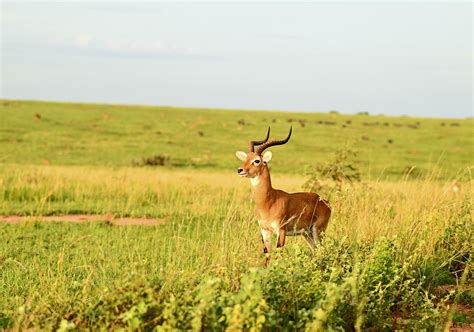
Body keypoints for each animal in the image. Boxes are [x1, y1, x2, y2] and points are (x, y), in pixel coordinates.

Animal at [235, 126, 332, 264]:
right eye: (246, 158)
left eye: (257, 160)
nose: (240, 170)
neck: (268, 201)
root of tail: (324, 201)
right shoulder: (265, 231)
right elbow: (267, 256)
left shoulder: (281, 231)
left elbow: (278, 254)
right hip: (307, 234)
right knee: (316, 251)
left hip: (318, 231)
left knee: (322, 250)